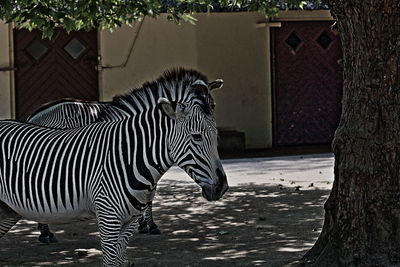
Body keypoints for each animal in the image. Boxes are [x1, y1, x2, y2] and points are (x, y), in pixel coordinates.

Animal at [0, 68, 228, 266]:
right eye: (197, 137)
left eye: (216, 133)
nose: (221, 187)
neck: (128, 154)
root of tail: (36, 112)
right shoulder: (108, 218)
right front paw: (151, 225)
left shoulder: (128, 221)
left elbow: (120, 258)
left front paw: (146, 224)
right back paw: (46, 233)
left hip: (7, 210)